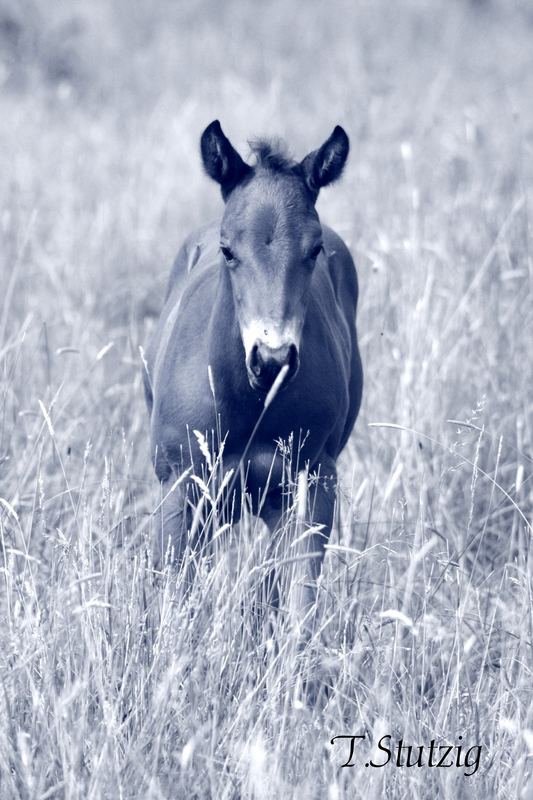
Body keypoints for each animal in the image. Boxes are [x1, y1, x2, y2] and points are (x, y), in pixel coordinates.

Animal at [143, 117, 364, 632]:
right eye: (227, 250)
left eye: (314, 250)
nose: (273, 359)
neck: (248, 408)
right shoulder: (179, 483)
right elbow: (174, 595)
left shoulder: (313, 481)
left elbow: (300, 602)